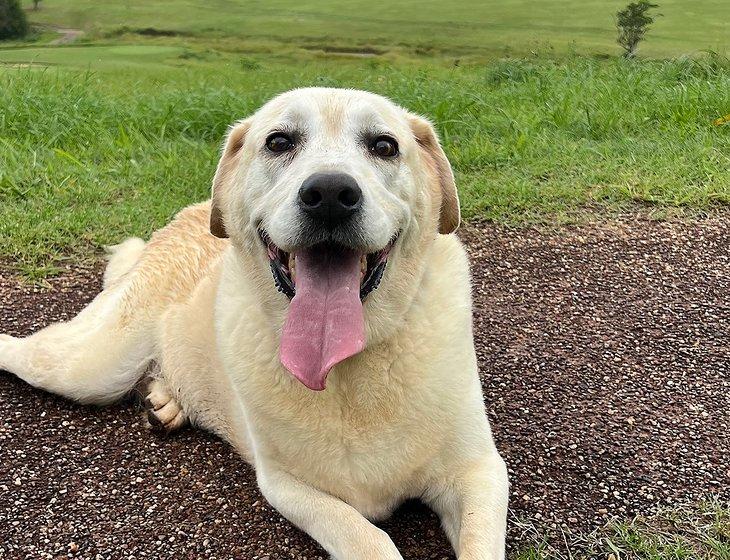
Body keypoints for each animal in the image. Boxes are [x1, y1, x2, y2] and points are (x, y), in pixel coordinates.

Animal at [1, 87, 506, 560]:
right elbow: (369, 539)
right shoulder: (287, 485)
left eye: (384, 146)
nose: (329, 195)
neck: (345, 366)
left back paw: (166, 401)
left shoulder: (481, 472)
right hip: (92, 368)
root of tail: (187, 214)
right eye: (279, 142)